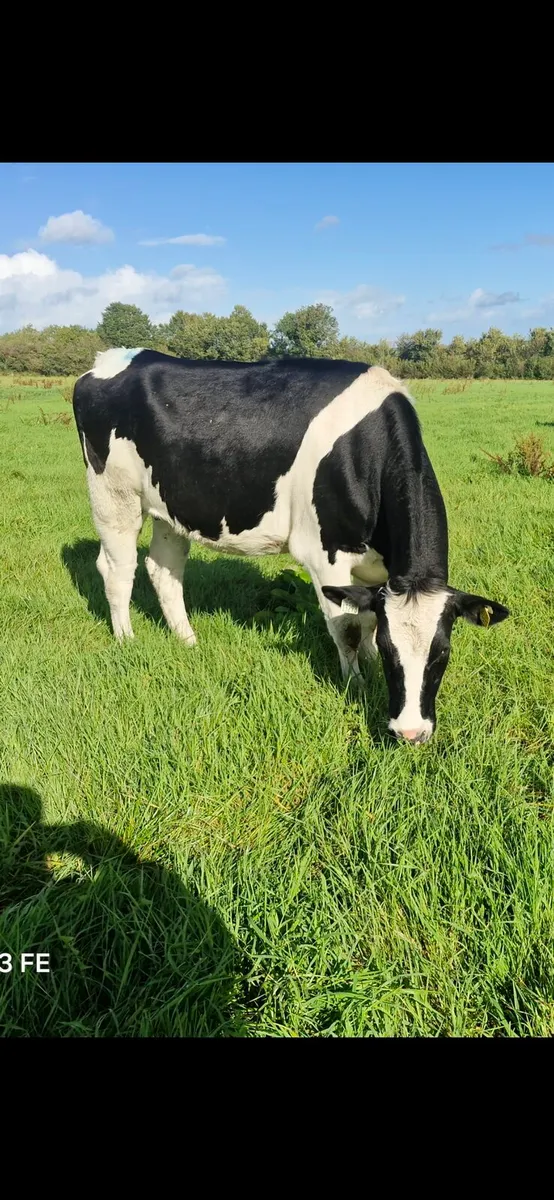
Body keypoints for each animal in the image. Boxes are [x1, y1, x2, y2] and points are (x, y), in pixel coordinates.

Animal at [72, 348, 509, 743]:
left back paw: (188, 641)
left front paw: (366, 668)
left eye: (442, 653)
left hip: (171, 509)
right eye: (392, 654)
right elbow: (348, 627)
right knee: (117, 569)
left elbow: (368, 618)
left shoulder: (380, 570)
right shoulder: (325, 555)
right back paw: (126, 639)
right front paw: (355, 684)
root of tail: (107, 360)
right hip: (114, 496)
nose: (412, 733)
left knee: (163, 569)